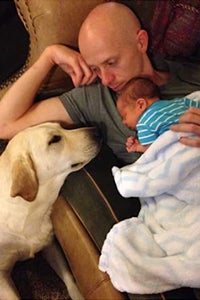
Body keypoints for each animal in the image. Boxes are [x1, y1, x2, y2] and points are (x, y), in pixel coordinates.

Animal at [0, 122, 101, 300]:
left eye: (62, 127)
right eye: (54, 139)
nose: (98, 131)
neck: (28, 209)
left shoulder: (50, 245)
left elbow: (70, 279)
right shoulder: (1, 278)